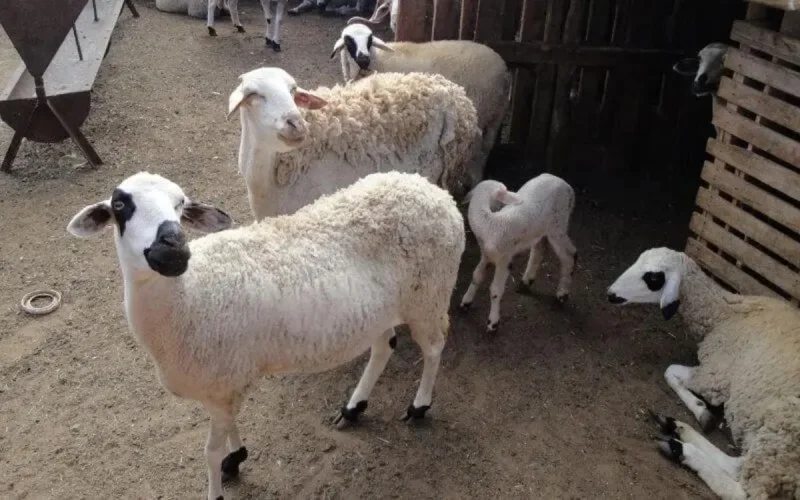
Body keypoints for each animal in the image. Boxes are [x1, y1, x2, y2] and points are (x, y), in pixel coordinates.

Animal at [66, 170, 465, 500]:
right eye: (121, 205)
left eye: (180, 204)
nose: (174, 249)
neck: (188, 296)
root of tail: (431, 190)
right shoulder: (225, 385)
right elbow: (229, 429)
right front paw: (237, 457)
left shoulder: (221, 382)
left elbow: (210, 452)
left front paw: (219, 482)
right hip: (382, 310)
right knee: (384, 347)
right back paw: (353, 408)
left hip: (429, 293)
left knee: (433, 347)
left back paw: (419, 406)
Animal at [330, 23, 511, 188]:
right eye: (348, 40)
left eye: (369, 39)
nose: (363, 59)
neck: (377, 58)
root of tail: (504, 69)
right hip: (495, 116)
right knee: (485, 150)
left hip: (482, 110)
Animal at [458, 175, 577, 333]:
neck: (490, 223)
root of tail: (565, 184)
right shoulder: (486, 254)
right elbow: (477, 276)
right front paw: (466, 302)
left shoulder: (504, 259)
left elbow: (495, 290)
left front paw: (493, 322)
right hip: (539, 230)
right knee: (539, 250)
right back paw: (526, 282)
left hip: (558, 225)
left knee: (569, 255)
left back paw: (562, 294)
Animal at [607, 247, 800, 499]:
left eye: (653, 277)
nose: (610, 294)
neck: (726, 314)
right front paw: (701, 416)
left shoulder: (715, 376)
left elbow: (670, 372)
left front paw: (701, 411)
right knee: (736, 465)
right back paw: (678, 428)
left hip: (782, 434)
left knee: (744, 490)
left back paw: (682, 449)